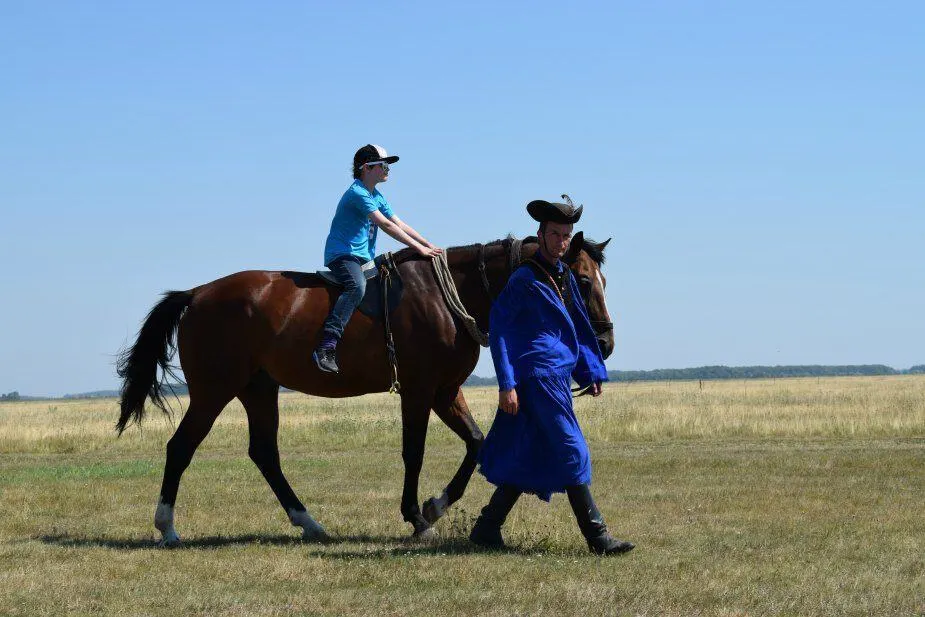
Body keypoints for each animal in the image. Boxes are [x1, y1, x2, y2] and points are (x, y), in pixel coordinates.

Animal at [117, 231, 612, 544]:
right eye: (583, 279)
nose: (605, 342)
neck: (445, 296)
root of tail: (198, 293)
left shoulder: (445, 391)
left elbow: (476, 442)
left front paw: (435, 505)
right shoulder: (419, 390)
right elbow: (414, 452)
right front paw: (418, 517)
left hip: (259, 390)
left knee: (264, 455)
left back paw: (309, 522)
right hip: (213, 390)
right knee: (181, 448)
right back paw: (167, 526)